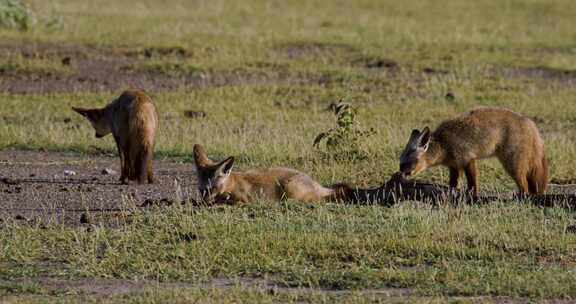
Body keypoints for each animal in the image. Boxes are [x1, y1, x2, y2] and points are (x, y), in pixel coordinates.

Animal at [192, 144, 352, 204]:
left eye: (212, 188)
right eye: (201, 190)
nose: (204, 201)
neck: (231, 184)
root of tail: (317, 184)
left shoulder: (244, 200)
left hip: (290, 191)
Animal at [398, 107, 548, 195]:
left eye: (407, 162)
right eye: (400, 163)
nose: (399, 174)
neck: (444, 143)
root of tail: (530, 123)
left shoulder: (468, 159)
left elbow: (472, 182)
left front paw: (472, 195)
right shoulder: (454, 165)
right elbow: (453, 183)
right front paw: (453, 191)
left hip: (513, 166)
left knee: (524, 186)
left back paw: (522, 196)